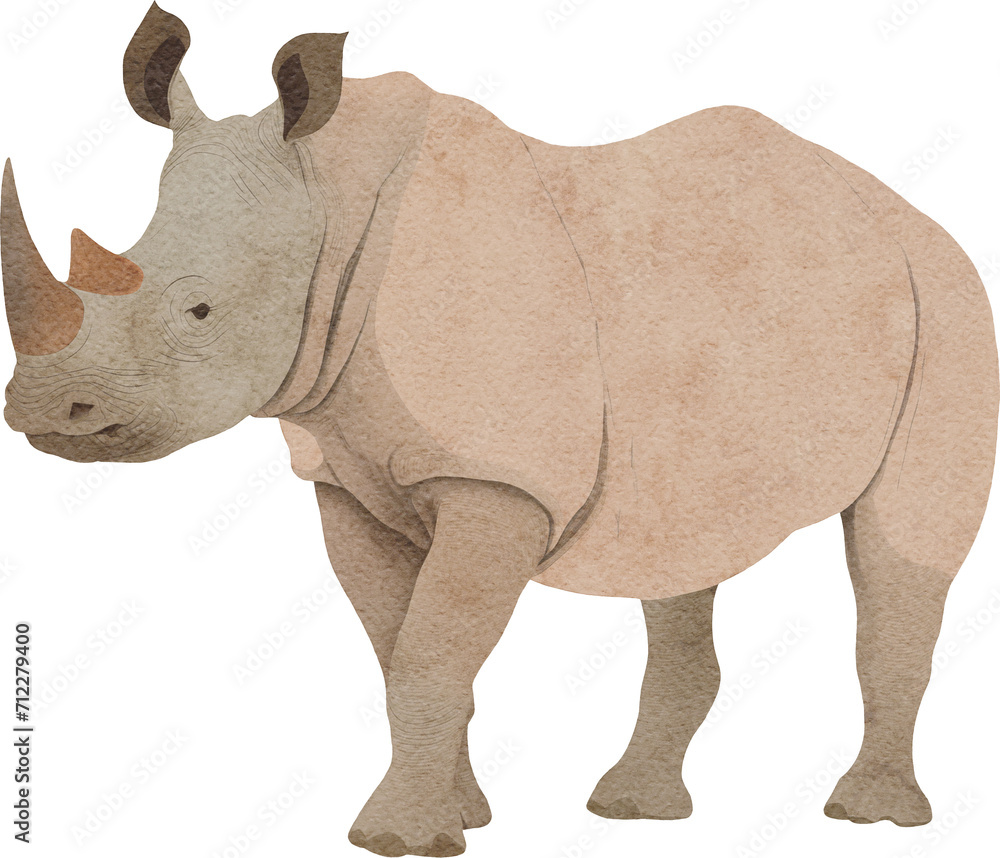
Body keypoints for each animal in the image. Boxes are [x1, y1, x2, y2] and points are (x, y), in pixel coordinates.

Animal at [3, 4, 997, 856]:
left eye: (200, 311)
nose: (47, 410)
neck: (329, 205)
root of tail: (901, 211)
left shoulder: (497, 479)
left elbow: (429, 654)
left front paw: (396, 839)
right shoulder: (344, 480)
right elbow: (401, 649)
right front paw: (460, 819)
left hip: (949, 301)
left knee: (898, 553)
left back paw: (870, 817)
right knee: (677, 541)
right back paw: (634, 809)